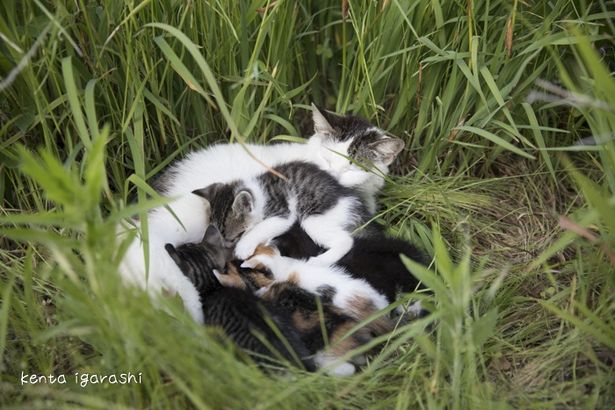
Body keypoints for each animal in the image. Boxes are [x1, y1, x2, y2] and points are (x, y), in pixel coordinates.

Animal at [192, 160, 376, 266]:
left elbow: (261, 227)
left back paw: (320, 261)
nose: (226, 247)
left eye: (233, 238)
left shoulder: (282, 211)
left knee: (346, 241)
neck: (258, 193)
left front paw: (243, 246)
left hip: (312, 217)